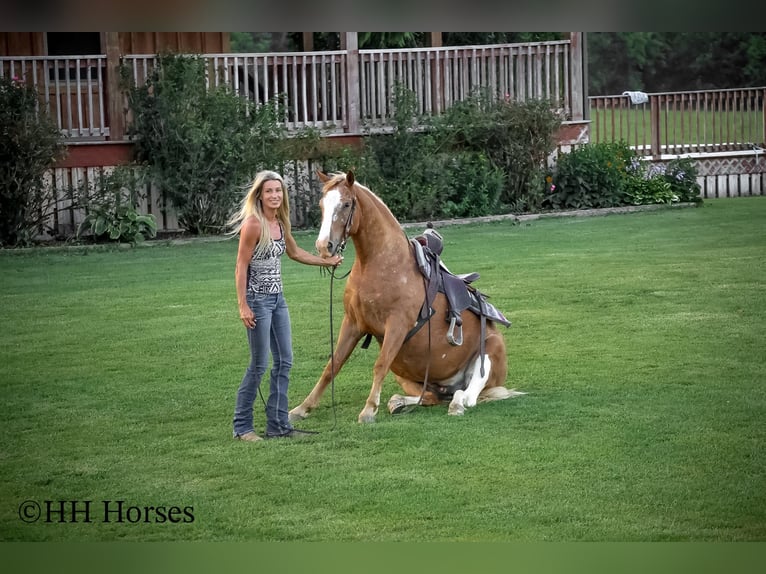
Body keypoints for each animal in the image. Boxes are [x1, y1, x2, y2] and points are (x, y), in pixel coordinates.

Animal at [288, 170, 525, 424]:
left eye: (347, 204)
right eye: (322, 204)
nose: (324, 246)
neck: (379, 263)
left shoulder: (397, 325)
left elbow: (379, 365)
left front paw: (369, 410)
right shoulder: (352, 323)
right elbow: (333, 364)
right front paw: (302, 408)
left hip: (487, 354)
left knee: (467, 395)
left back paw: (456, 404)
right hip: (406, 374)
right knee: (430, 397)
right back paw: (398, 402)